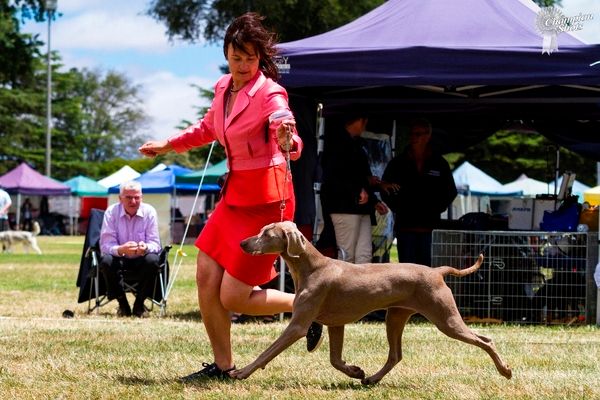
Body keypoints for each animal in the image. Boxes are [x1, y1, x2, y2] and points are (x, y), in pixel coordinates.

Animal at [232, 221, 512, 384]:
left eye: (266, 233)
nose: (242, 243)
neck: (312, 267)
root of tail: (437, 271)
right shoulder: (336, 324)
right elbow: (335, 359)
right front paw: (355, 372)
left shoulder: (297, 326)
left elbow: (267, 352)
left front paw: (241, 373)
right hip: (396, 316)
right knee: (396, 355)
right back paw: (373, 379)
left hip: (446, 318)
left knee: (486, 340)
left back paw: (505, 370)